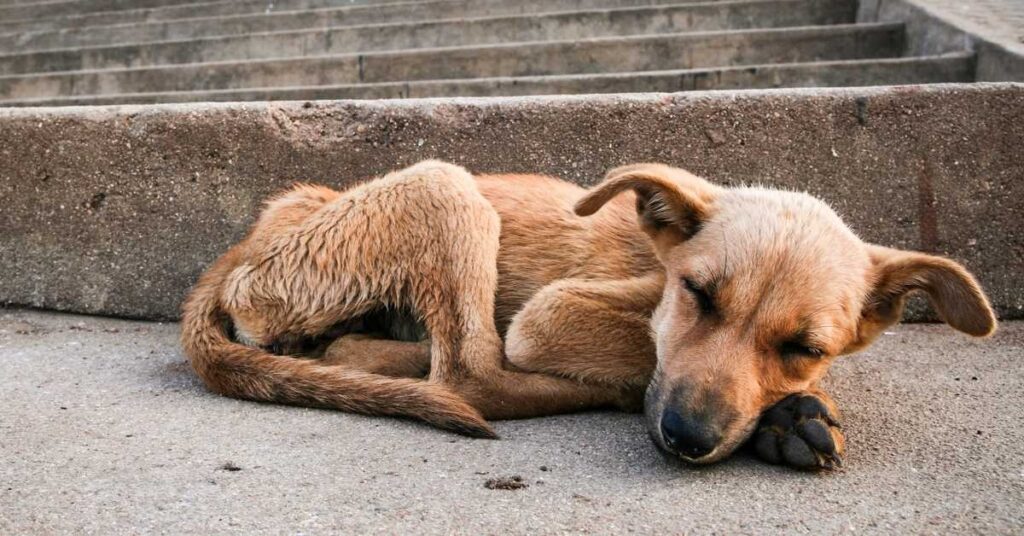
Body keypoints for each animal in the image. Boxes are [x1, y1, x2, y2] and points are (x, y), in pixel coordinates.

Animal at [180, 159, 995, 469]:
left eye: (804, 345)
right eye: (699, 295)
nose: (688, 438)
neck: (655, 263)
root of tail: (247, 243)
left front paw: (791, 409)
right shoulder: (550, 313)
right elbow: (641, 352)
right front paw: (785, 415)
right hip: (444, 185)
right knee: (472, 374)